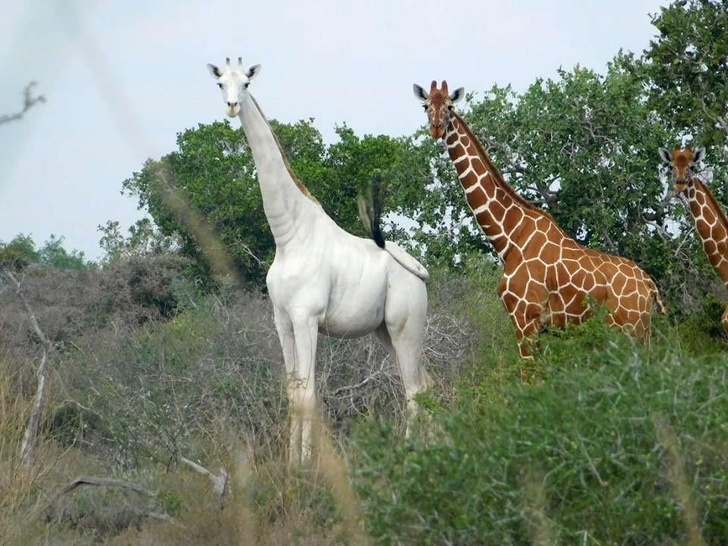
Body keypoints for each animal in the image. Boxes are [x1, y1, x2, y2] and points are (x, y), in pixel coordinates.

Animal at [206, 57, 432, 462]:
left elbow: (309, 395)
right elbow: (293, 392)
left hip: (406, 325)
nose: (232, 107)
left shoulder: (307, 317)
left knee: (414, 390)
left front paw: (305, 467)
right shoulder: (282, 320)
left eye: (246, 83)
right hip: (385, 331)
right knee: (426, 383)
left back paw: (411, 452)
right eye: (220, 84)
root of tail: (421, 273)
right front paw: (289, 462)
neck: (289, 236)